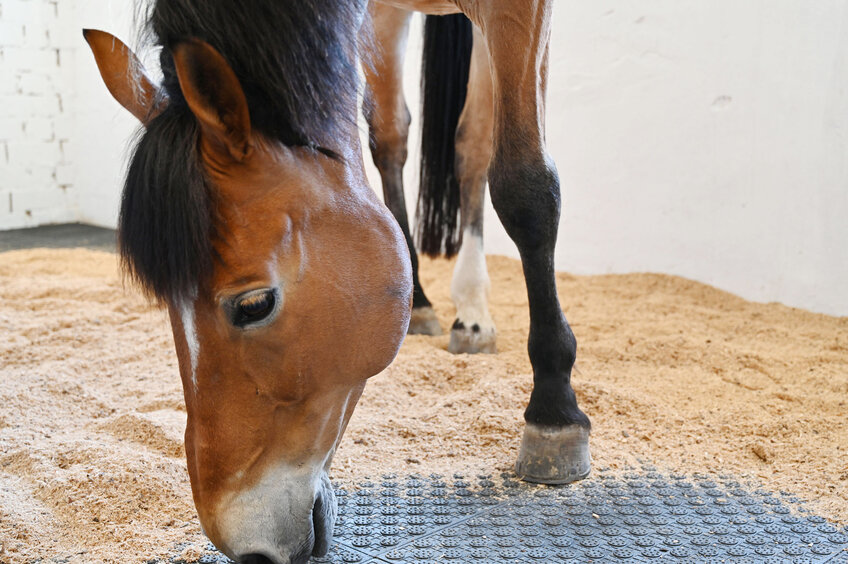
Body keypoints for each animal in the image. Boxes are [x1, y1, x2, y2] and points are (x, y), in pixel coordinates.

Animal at [83, 1, 590, 562]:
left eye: (254, 304)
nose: (245, 547)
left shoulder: (520, 14)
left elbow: (525, 187)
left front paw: (554, 408)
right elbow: (394, 139)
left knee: (474, 146)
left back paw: (474, 314)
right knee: (405, 139)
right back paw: (430, 305)